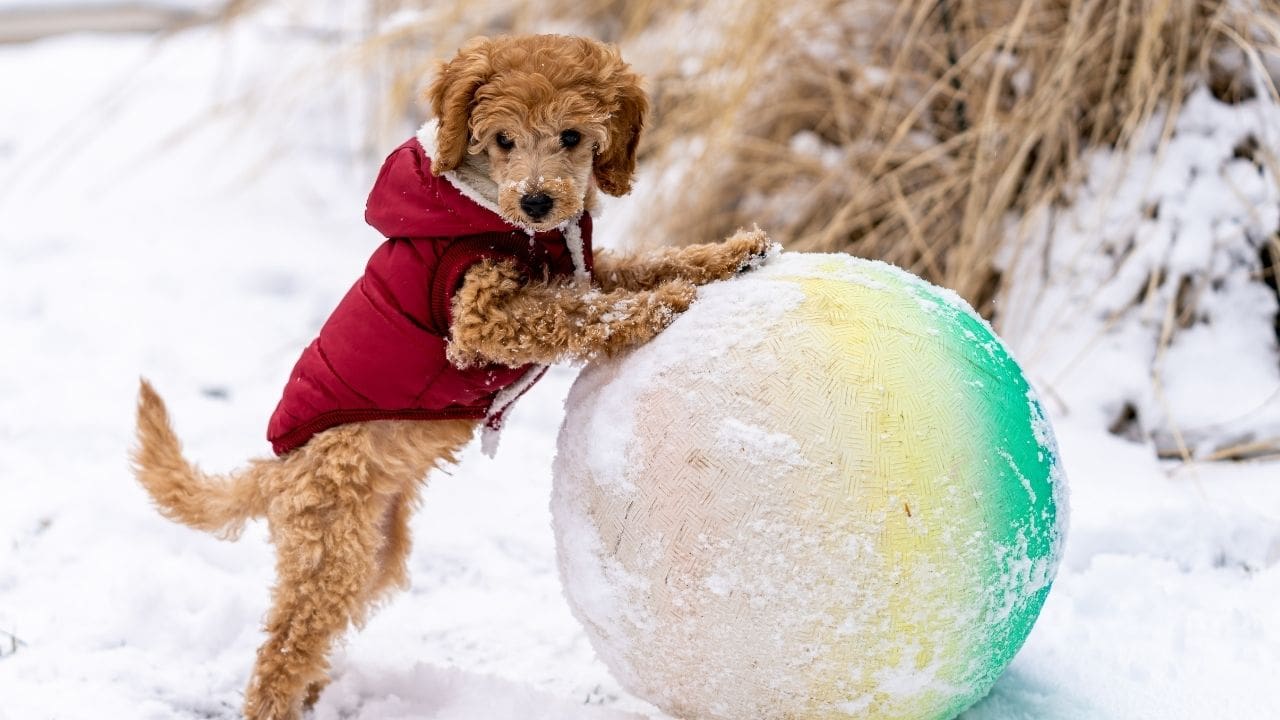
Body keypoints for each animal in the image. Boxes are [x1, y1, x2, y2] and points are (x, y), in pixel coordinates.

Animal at [131, 35, 768, 717]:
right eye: (503, 139)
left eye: (571, 136)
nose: (537, 201)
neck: (501, 215)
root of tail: (276, 474)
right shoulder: (479, 318)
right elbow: (576, 312)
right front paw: (660, 306)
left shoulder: (582, 268)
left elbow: (639, 266)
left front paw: (730, 254)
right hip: (330, 548)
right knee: (283, 649)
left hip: (372, 554)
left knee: (314, 636)